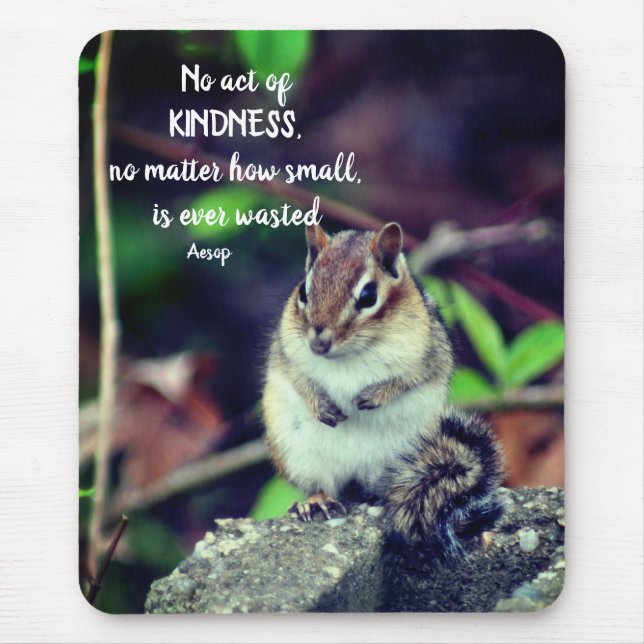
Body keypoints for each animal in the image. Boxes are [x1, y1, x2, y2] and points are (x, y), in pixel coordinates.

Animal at [262, 222, 505, 558]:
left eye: (368, 296)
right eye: (302, 292)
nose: (319, 342)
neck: (350, 354)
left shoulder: (429, 354)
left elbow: (409, 378)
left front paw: (375, 395)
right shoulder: (286, 352)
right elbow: (299, 378)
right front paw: (320, 404)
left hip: (408, 455)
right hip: (298, 453)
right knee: (321, 484)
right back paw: (317, 502)